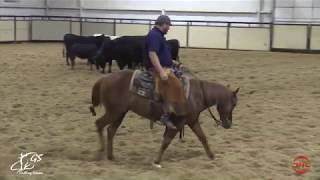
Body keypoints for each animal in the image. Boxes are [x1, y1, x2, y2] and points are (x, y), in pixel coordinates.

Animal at [89, 70, 239, 167]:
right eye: (234, 104)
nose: (228, 124)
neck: (195, 95)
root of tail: (103, 79)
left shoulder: (192, 121)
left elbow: (202, 137)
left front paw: (212, 156)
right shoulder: (176, 124)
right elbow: (166, 142)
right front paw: (156, 161)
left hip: (120, 113)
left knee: (110, 130)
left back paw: (110, 156)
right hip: (114, 112)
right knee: (99, 124)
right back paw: (100, 153)